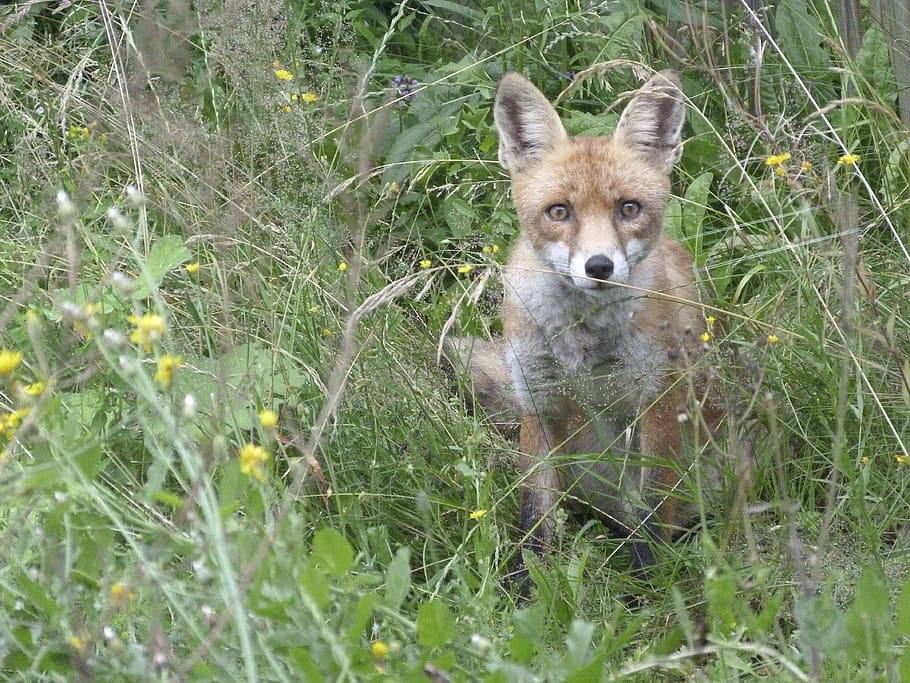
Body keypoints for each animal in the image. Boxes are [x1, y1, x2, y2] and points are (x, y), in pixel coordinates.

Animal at [447, 69, 727, 580]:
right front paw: (526, 587)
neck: (582, 342)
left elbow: (653, 509)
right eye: (560, 211)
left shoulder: (657, 398)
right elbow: (534, 517)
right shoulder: (538, 401)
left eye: (628, 208)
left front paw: (649, 587)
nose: (599, 266)